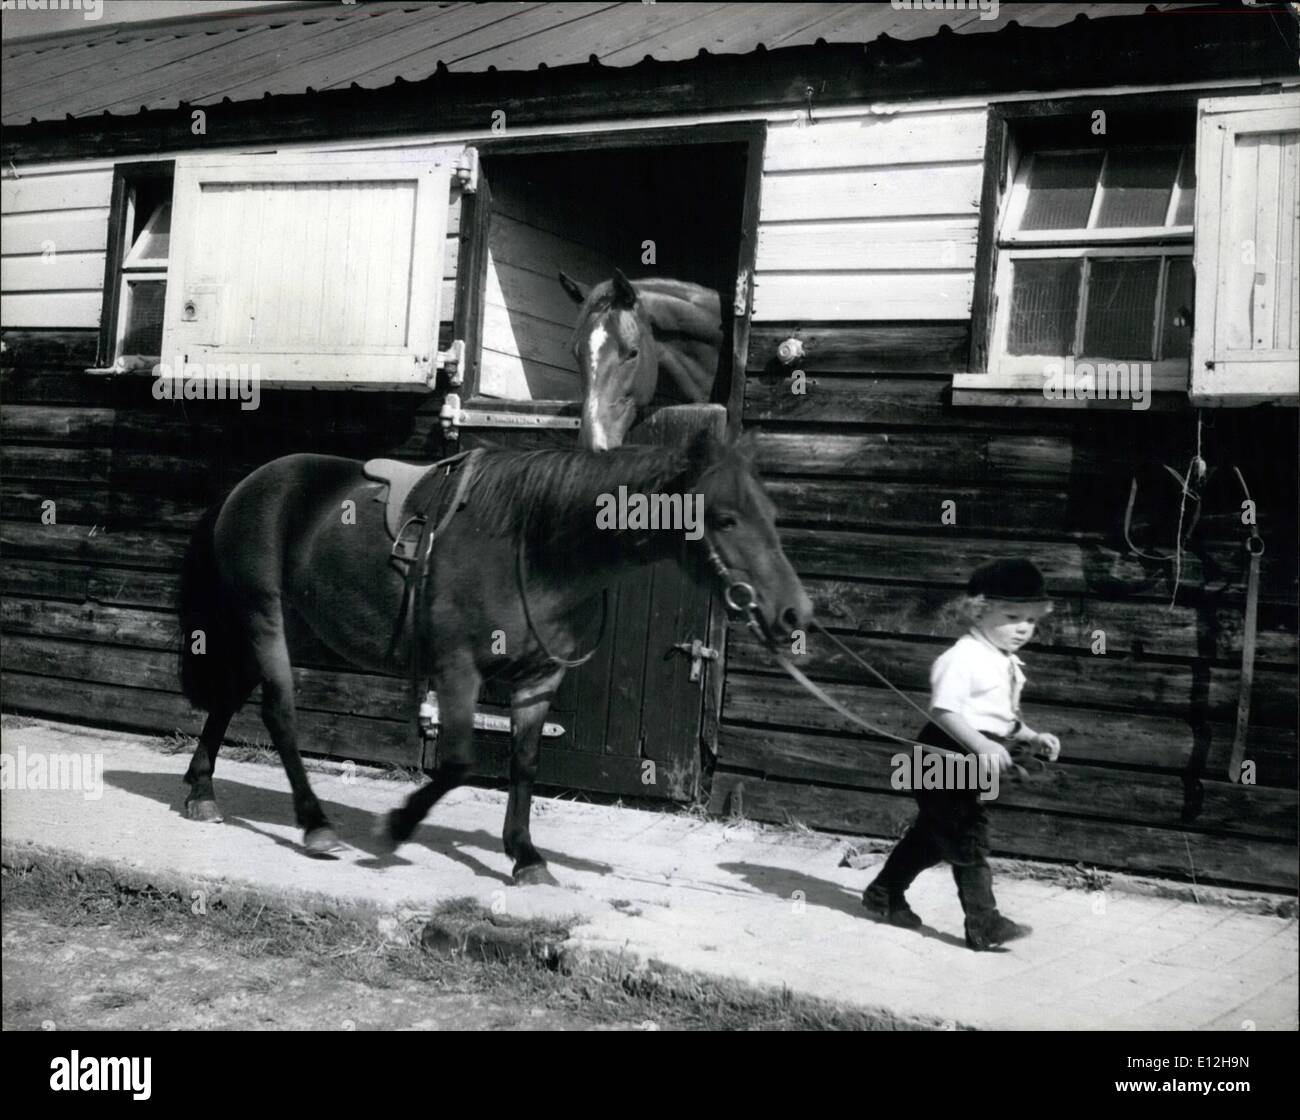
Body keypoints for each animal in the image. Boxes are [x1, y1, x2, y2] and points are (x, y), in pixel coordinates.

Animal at [178, 433, 806, 883]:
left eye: (773, 515)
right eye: (724, 518)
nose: (793, 613)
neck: (531, 547)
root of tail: (247, 485)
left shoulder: (539, 681)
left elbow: (524, 764)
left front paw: (525, 856)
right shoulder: (458, 669)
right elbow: (458, 761)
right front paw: (395, 828)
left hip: (292, 626)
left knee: (230, 698)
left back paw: (202, 791)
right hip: (264, 618)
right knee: (279, 715)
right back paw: (314, 824)